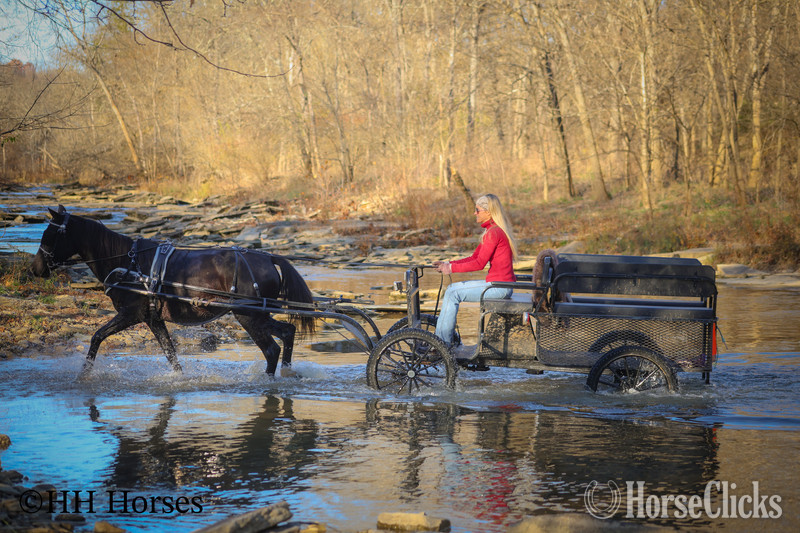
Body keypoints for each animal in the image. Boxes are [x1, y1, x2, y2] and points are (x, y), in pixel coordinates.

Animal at [29, 205, 315, 377]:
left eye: (50, 235)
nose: (35, 268)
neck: (128, 263)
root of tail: (268, 258)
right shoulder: (153, 319)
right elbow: (170, 354)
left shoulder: (130, 315)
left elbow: (97, 336)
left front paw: (85, 373)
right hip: (258, 315)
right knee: (288, 332)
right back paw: (287, 373)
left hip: (248, 316)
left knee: (271, 350)